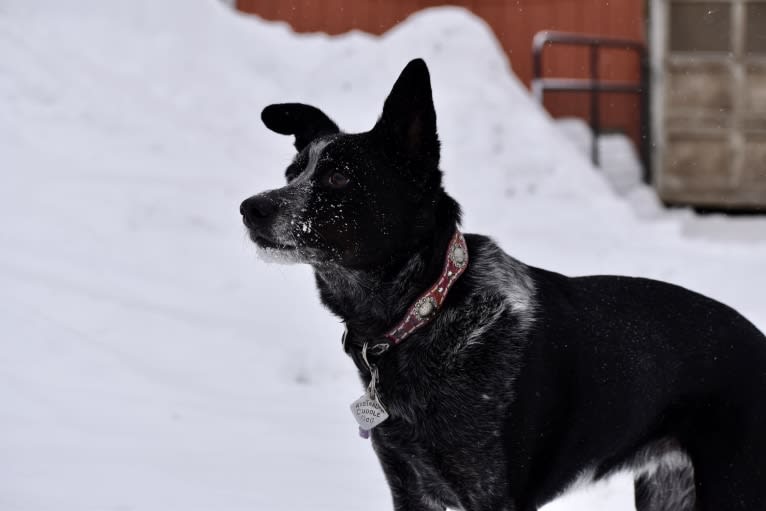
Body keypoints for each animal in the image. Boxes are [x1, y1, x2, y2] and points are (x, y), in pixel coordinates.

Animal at [242, 60, 766, 511]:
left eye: (338, 177)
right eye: (292, 173)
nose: (250, 207)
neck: (425, 310)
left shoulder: (496, 494)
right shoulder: (410, 487)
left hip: (732, 489)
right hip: (670, 491)